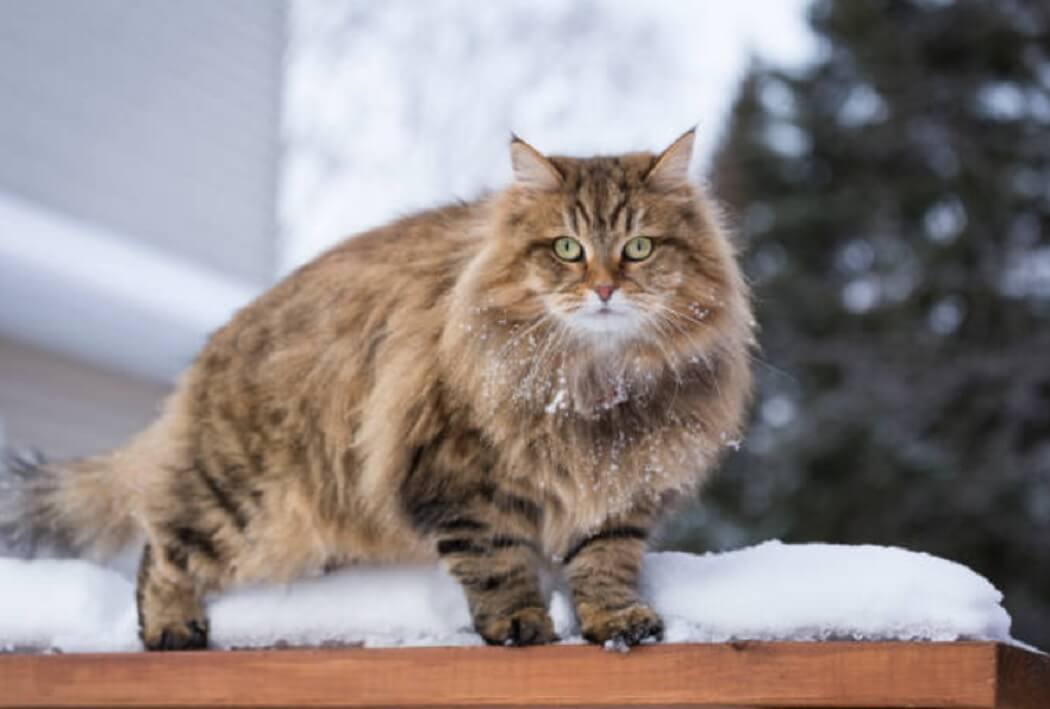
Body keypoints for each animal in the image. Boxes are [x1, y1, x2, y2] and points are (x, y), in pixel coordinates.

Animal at [0, 130, 755, 651]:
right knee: (160, 549)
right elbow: (498, 563)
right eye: (567, 249)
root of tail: (213, 351)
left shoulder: (621, 491)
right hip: (242, 503)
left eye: (639, 248)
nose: (603, 288)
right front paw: (518, 622)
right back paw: (171, 628)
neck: (594, 385)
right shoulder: (460, 479)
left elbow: (604, 563)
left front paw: (616, 621)